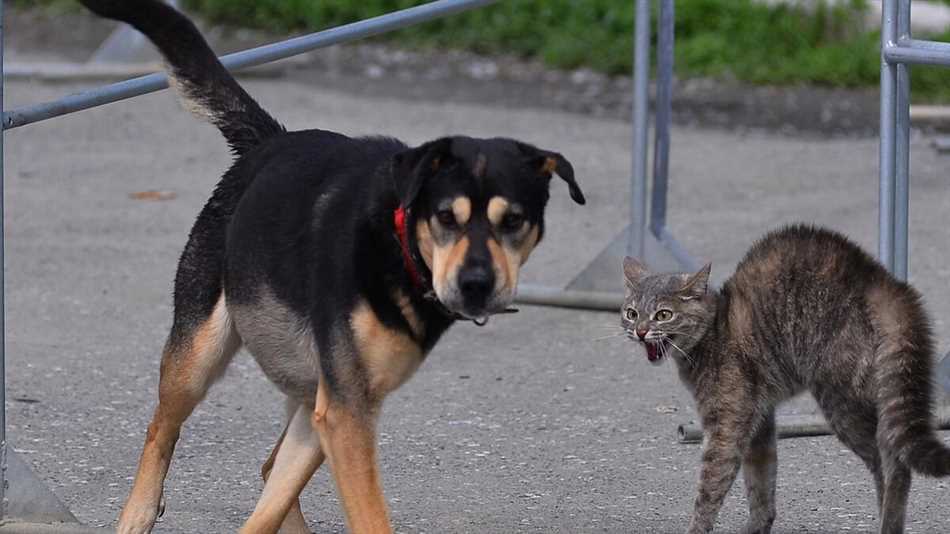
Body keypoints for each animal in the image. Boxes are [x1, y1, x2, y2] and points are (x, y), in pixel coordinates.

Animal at [80, 1, 588, 534]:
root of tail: (272, 142)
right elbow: (369, 516)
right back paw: (137, 513)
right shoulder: (346, 411)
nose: (476, 285)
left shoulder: (341, 405)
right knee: (162, 426)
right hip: (199, 354)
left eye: (513, 221)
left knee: (270, 472)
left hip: (307, 393)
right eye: (447, 217)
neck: (396, 242)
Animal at [620, 226, 950, 534]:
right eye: (631, 313)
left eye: (664, 315)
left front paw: (698, 527)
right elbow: (761, 485)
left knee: (893, 464)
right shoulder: (760, 422)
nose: (640, 331)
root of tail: (882, 284)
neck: (713, 331)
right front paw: (758, 526)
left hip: (841, 402)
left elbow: (710, 487)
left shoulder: (726, 426)